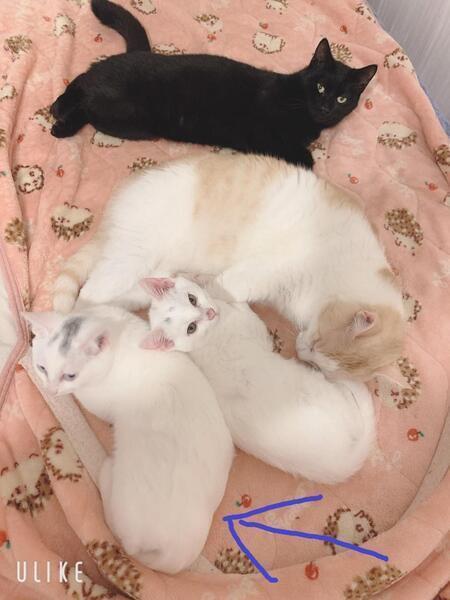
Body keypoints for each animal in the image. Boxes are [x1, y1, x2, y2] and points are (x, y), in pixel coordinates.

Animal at [49, 0, 377, 167]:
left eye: (342, 99)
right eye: (320, 88)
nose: (325, 107)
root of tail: (140, 51)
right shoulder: (263, 132)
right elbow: (302, 156)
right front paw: (305, 161)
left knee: (86, 85)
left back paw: (59, 111)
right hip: (130, 117)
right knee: (87, 89)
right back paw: (60, 120)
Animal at [53, 152, 405, 381]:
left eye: (318, 365)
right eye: (317, 344)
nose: (302, 351)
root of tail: (113, 211)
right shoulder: (269, 268)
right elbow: (229, 286)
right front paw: (210, 296)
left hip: (145, 274)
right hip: (130, 257)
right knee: (88, 294)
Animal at [142, 276, 375, 484]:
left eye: (192, 299)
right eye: (191, 328)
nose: (209, 313)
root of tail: (340, 464)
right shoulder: (256, 329)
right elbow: (244, 308)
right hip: (325, 392)